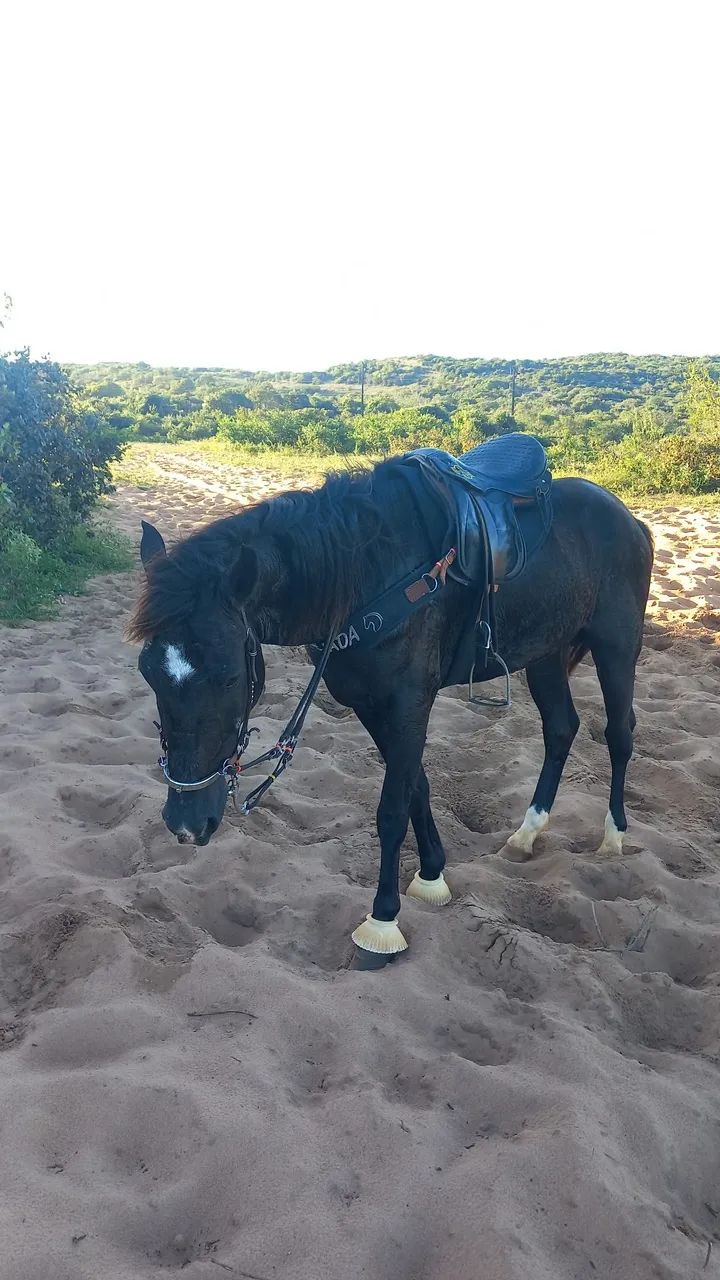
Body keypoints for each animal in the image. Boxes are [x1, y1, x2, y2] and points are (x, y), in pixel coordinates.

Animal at [128, 447, 653, 965]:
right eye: (147, 671)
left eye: (230, 675)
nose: (186, 825)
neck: (368, 571)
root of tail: (629, 518)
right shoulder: (371, 704)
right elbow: (416, 785)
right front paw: (432, 875)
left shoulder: (407, 703)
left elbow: (391, 809)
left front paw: (382, 923)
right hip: (546, 652)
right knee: (561, 728)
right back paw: (527, 834)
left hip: (617, 645)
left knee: (619, 734)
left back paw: (613, 837)